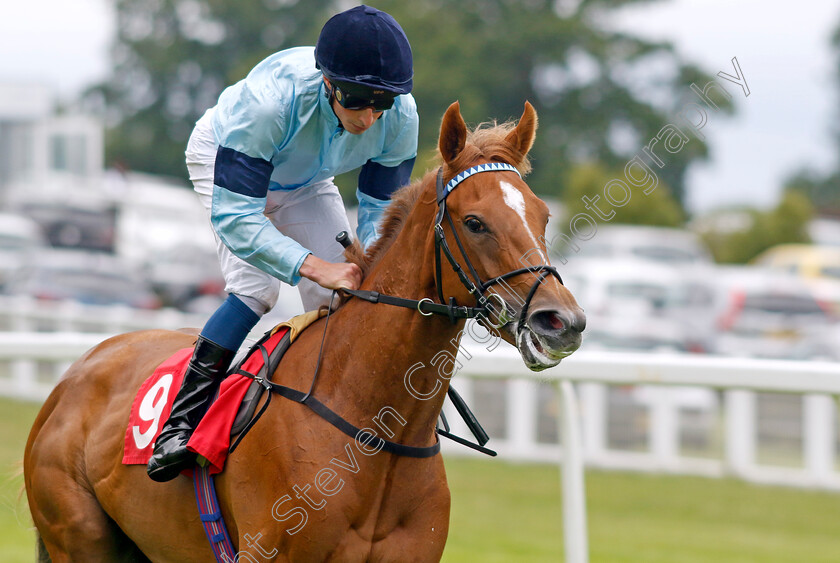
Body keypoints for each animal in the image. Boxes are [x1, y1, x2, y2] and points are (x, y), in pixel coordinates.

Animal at [24, 102, 584, 563]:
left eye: (543, 216)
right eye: (474, 222)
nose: (562, 322)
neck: (377, 431)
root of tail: (77, 371)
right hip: (79, 536)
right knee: (251, 290)